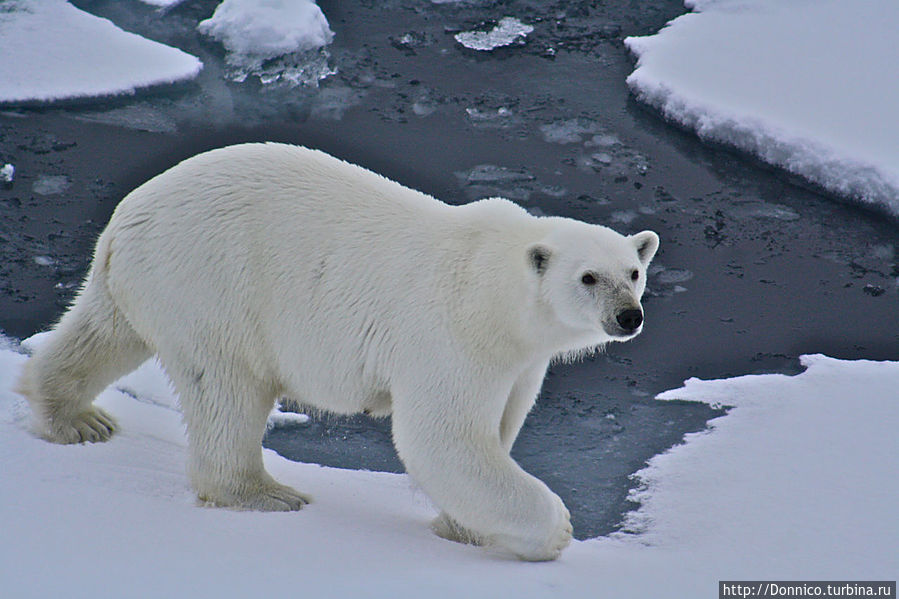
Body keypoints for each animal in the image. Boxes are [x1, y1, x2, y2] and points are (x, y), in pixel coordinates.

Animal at [15, 144, 660, 564]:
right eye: (588, 278)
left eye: (633, 272)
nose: (629, 317)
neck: (497, 288)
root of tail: (126, 218)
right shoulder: (451, 333)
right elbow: (443, 439)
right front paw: (552, 531)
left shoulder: (521, 360)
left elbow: (499, 426)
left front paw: (463, 528)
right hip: (213, 282)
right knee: (227, 387)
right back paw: (264, 493)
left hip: (144, 279)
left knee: (103, 333)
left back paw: (75, 419)